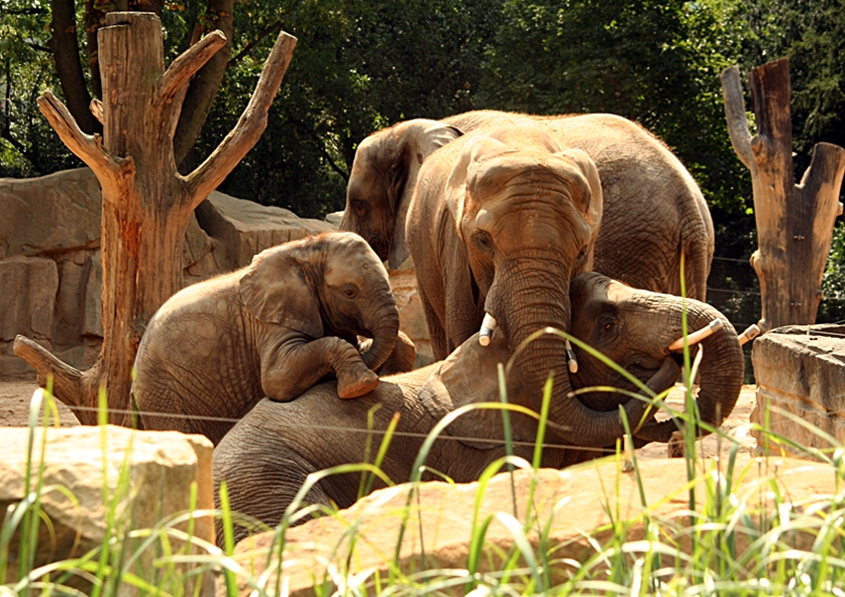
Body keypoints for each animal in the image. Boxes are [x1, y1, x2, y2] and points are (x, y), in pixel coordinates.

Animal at [132, 230, 408, 444]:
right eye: (350, 291)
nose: (377, 368)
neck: (305, 248)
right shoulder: (269, 321)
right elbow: (277, 379)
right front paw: (361, 385)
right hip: (162, 392)